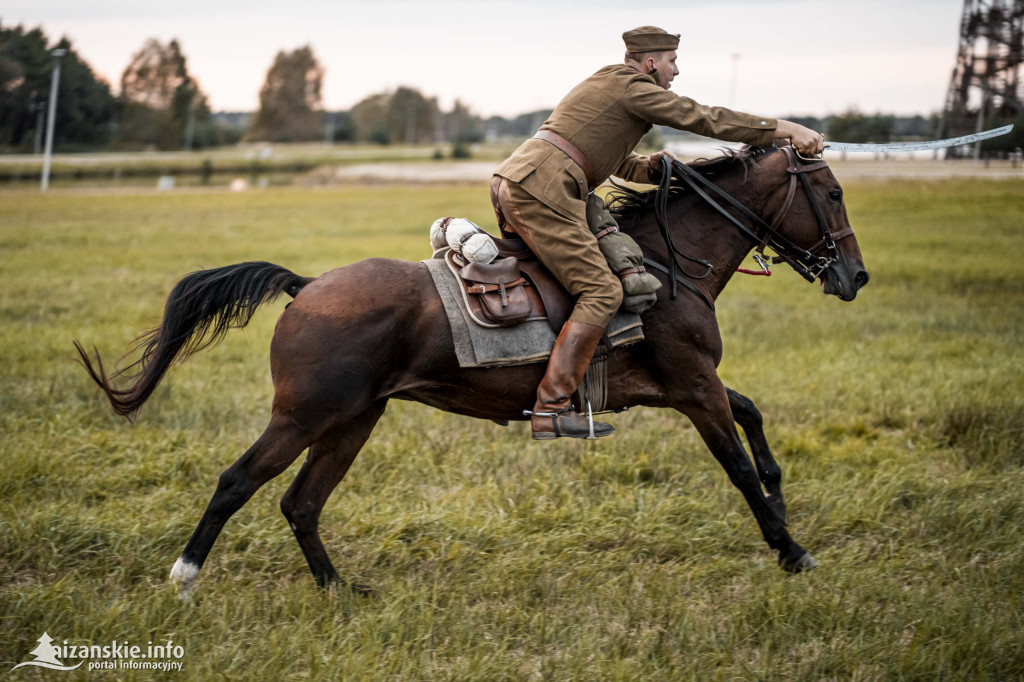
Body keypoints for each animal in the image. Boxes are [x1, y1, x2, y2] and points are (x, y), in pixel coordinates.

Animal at [75, 146, 868, 593]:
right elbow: (736, 465)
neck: (671, 264)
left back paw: (339, 590)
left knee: (300, 503)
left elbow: (754, 420)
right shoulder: (692, 388)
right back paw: (185, 576)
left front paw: (782, 505)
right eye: (831, 194)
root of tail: (307, 286)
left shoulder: (685, 386)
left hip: (353, 421)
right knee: (239, 481)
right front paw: (790, 549)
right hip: (305, 417)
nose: (855, 275)